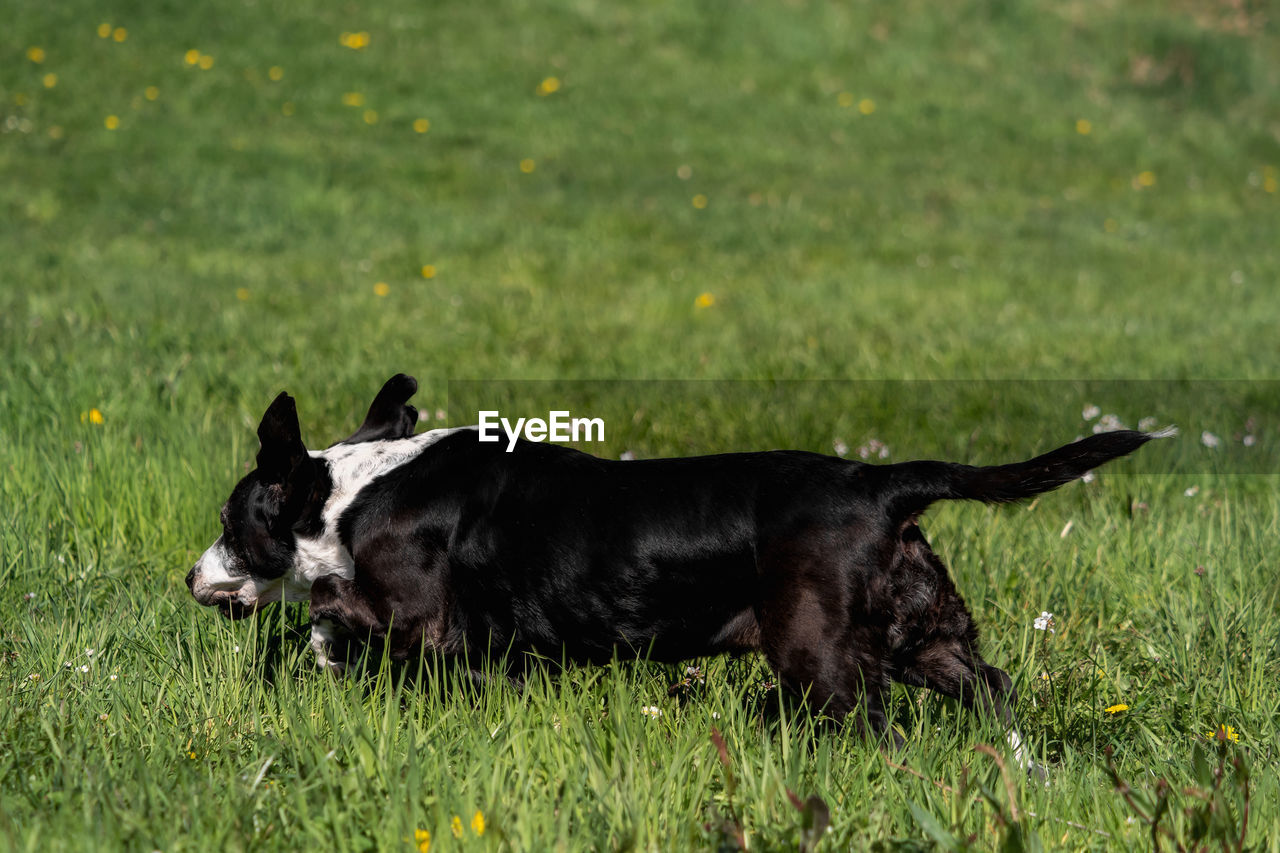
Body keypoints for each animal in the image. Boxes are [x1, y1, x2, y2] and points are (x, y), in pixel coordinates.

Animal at [186, 371, 1162, 763]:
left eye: (231, 522)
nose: (190, 577)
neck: (350, 493)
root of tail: (879, 484)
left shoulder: (417, 616)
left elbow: (328, 601)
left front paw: (320, 646)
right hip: (924, 631)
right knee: (991, 686)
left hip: (819, 655)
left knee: (875, 727)